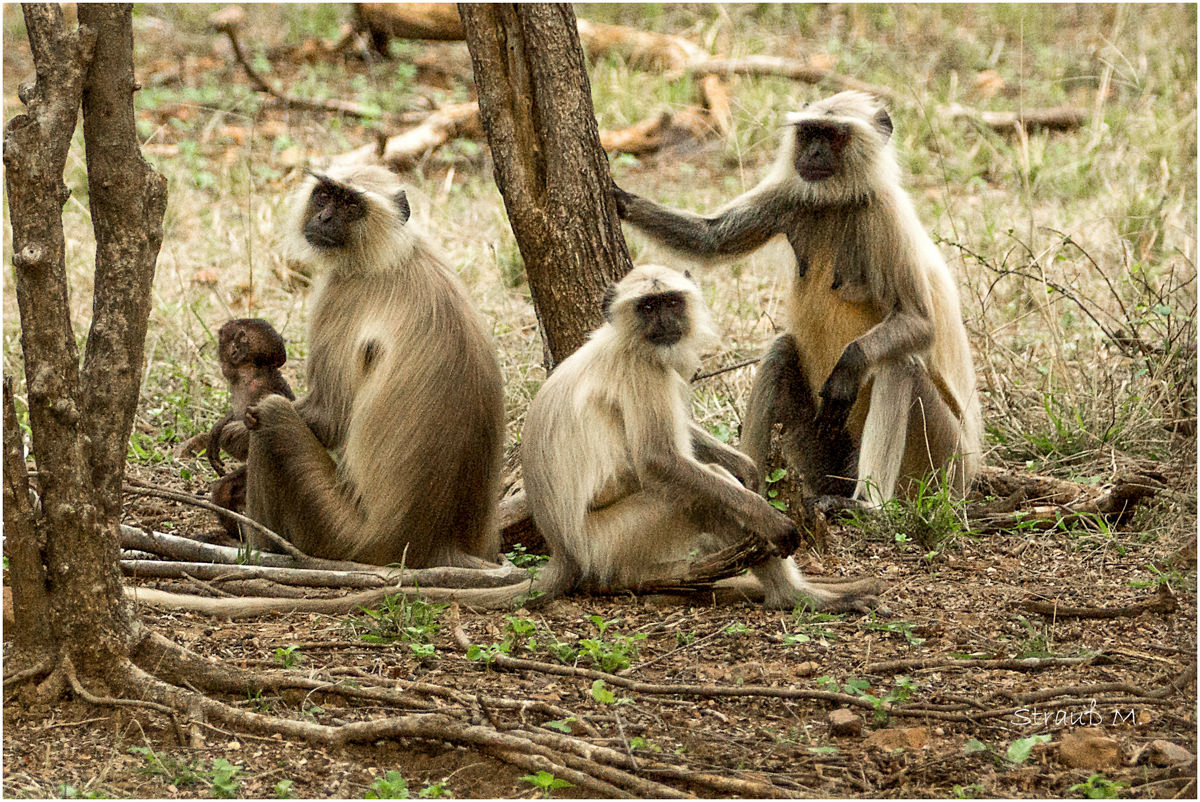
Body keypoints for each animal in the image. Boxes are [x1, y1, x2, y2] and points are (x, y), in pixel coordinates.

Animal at [238, 165, 506, 569]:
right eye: (325, 195)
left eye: (351, 205)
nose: (324, 218)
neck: (392, 254)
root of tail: (439, 543)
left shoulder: (338, 294)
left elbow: (328, 419)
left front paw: (230, 433)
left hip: (342, 534)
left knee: (270, 417)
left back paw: (260, 551)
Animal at [520, 266, 878, 609]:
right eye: (647, 307)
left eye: (671, 302)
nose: (664, 321)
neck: (625, 340)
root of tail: (564, 551)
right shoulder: (643, 370)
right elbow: (658, 460)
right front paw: (766, 516)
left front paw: (747, 468)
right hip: (609, 542)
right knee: (704, 502)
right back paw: (795, 596)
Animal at [614, 90, 979, 511]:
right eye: (809, 133)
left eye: (833, 136)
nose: (815, 153)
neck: (838, 201)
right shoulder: (792, 193)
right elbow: (711, 238)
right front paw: (620, 198)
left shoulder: (885, 214)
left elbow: (919, 321)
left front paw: (848, 367)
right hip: (825, 453)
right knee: (782, 350)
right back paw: (753, 487)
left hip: (942, 466)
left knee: (901, 363)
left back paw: (867, 505)